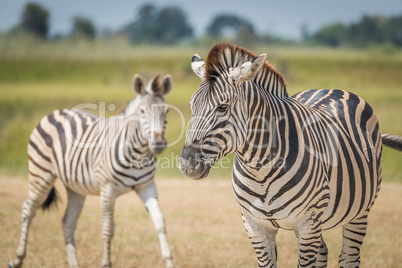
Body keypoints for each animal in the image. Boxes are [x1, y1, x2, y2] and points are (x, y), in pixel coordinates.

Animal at [9, 74, 175, 268]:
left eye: (166, 111)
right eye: (142, 111)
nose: (159, 144)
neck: (138, 154)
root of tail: (55, 112)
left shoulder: (146, 186)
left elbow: (160, 222)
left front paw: (169, 261)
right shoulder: (107, 189)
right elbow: (108, 229)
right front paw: (106, 263)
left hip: (74, 187)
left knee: (68, 221)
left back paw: (74, 264)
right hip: (40, 174)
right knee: (28, 209)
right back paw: (17, 259)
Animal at [180, 42, 402, 266]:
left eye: (223, 107)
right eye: (191, 106)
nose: (187, 164)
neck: (260, 171)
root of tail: (332, 89)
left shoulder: (308, 223)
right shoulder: (255, 226)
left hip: (359, 212)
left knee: (349, 257)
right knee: (323, 252)